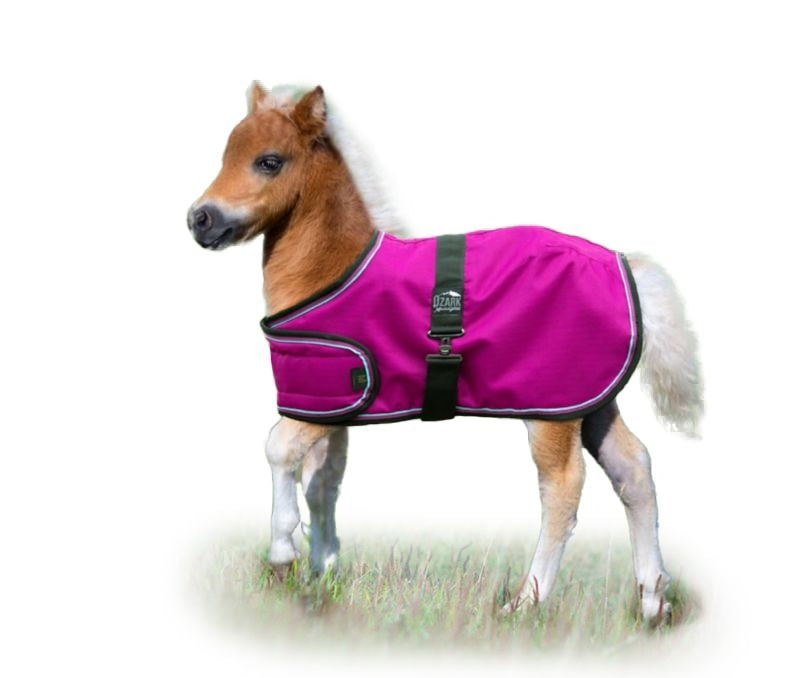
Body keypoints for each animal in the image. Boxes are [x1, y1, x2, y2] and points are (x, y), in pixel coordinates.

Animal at [187, 82, 703, 624]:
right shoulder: (329, 407)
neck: (332, 269)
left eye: (269, 161)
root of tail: (623, 264)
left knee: (562, 488)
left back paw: (526, 602)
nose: (200, 219)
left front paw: (283, 553)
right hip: (591, 398)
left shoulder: (320, 398)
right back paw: (652, 601)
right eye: (225, 154)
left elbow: (278, 449)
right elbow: (323, 481)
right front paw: (322, 573)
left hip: (551, 409)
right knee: (634, 468)